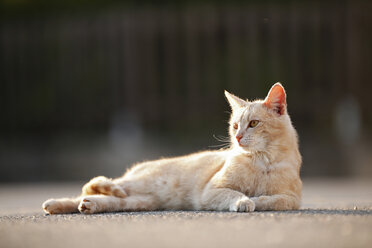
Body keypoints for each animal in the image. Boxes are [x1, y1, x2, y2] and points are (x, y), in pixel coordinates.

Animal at [42, 82, 302, 214]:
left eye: (254, 124)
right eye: (235, 125)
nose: (237, 137)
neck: (262, 161)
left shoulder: (293, 198)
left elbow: (275, 200)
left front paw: (256, 199)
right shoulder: (212, 189)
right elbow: (235, 193)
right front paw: (244, 201)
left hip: (140, 201)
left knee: (100, 199)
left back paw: (83, 205)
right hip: (138, 183)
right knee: (92, 186)